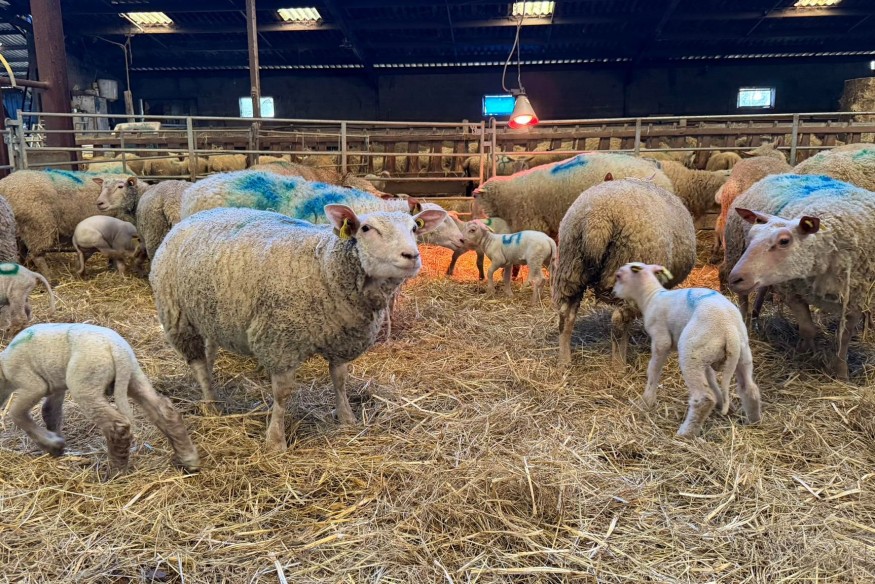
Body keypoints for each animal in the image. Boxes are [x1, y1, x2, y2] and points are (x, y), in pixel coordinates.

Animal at [0, 323, 200, 472]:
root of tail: (116, 349)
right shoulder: (56, 385)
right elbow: (49, 412)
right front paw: (56, 444)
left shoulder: (33, 385)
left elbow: (17, 414)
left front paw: (52, 444)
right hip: (133, 376)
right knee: (165, 411)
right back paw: (189, 459)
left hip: (85, 385)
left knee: (117, 426)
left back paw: (115, 473)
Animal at [150, 205, 447, 450]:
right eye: (366, 228)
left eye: (414, 228)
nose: (412, 255)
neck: (324, 264)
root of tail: (193, 216)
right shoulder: (280, 341)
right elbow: (282, 395)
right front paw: (275, 441)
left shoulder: (342, 338)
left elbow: (340, 380)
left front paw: (347, 418)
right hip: (177, 314)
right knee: (197, 362)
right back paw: (211, 404)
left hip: (209, 312)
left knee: (209, 350)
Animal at [552, 178, 697, 365]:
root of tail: (597, 221)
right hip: (629, 268)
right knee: (619, 321)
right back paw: (618, 364)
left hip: (570, 269)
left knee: (565, 314)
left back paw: (564, 361)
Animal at [611, 262, 761, 437]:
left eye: (618, 276)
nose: (613, 293)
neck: (651, 296)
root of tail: (728, 328)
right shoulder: (704, 357)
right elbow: (711, 378)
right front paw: (723, 403)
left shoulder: (660, 339)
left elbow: (653, 370)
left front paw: (646, 401)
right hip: (736, 353)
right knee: (749, 388)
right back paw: (754, 421)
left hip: (691, 351)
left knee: (703, 398)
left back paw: (686, 432)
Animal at [726, 174, 875, 380]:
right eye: (751, 235)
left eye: (784, 241)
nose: (734, 278)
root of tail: (776, 175)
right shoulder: (792, 292)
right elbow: (808, 328)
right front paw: (806, 352)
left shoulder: (855, 300)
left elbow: (843, 337)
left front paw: (841, 372)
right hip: (736, 252)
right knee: (743, 300)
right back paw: (746, 322)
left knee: (761, 289)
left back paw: (755, 313)